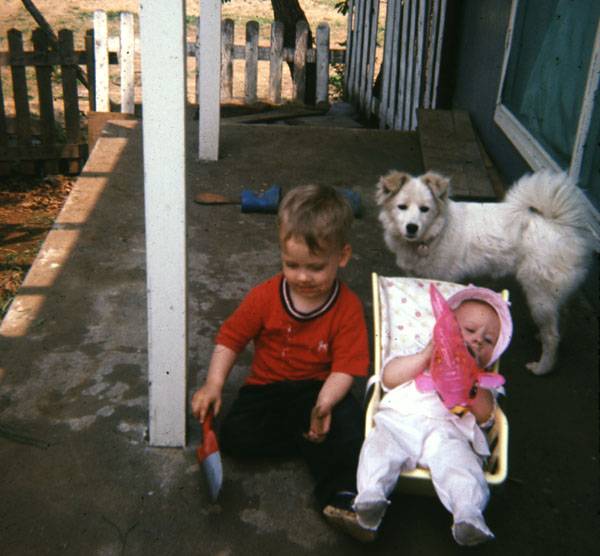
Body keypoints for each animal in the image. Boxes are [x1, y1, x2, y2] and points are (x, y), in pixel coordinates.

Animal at [378, 169, 596, 376]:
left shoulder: (441, 278)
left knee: (552, 336)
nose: (412, 227)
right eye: (402, 207)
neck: (436, 233)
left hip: (539, 295)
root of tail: (561, 224)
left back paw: (543, 367)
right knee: (561, 317)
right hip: (551, 295)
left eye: (425, 209)